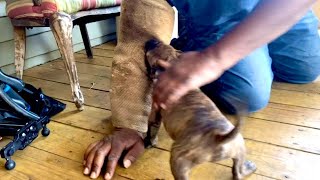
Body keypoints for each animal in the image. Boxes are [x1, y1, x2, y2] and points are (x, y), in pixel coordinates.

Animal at [144, 39, 256, 180]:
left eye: (154, 47)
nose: (152, 40)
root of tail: (219, 137)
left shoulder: (155, 111)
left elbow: (152, 128)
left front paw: (149, 141)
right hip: (239, 149)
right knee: (238, 172)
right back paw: (249, 168)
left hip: (179, 159)